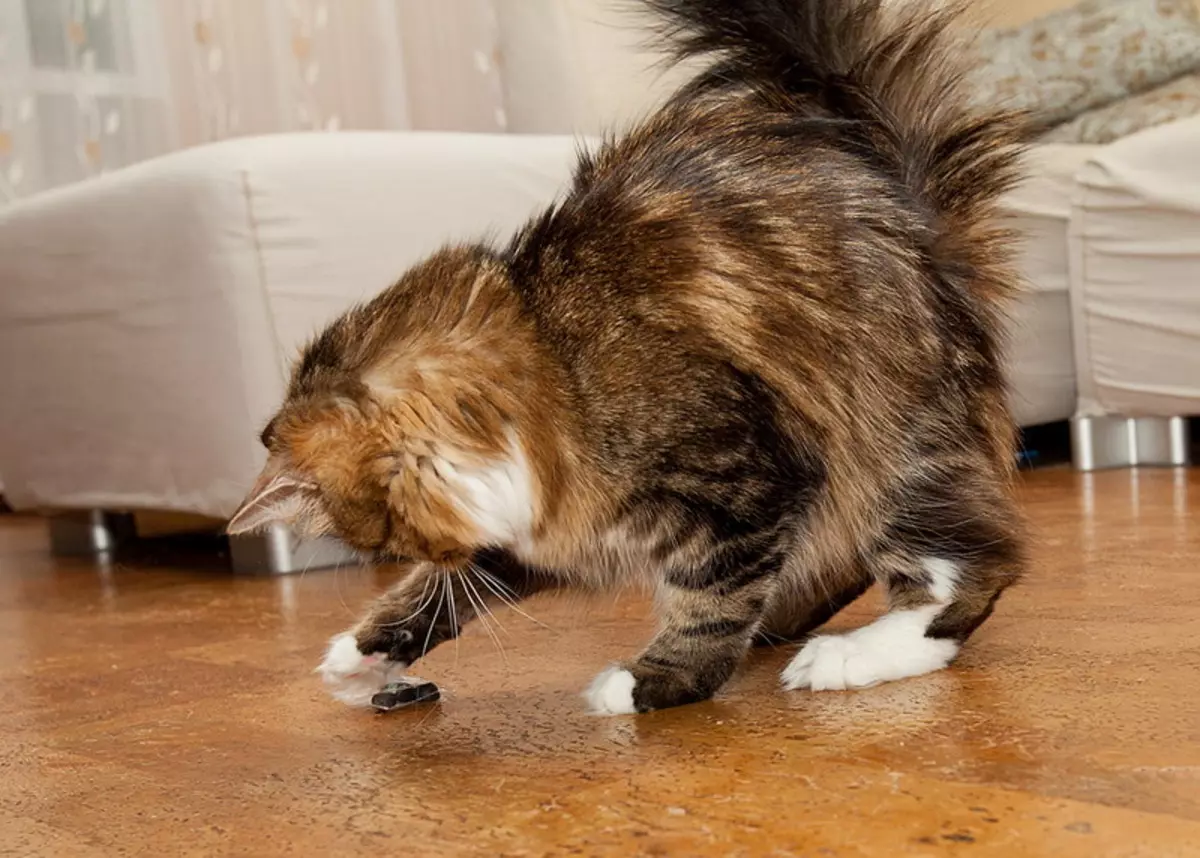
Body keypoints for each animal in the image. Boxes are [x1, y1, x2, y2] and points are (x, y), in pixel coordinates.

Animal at [229, 0, 1027, 715]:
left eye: (392, 535)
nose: (443, 554)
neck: (550, 357)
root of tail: (911, 210)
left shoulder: (749, 477)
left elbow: (712, 595)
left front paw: (659, 679)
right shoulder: (539, 527)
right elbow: (442, 591)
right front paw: (366, 651)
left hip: (889, 443)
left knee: (977, 571)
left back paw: (847, 657)